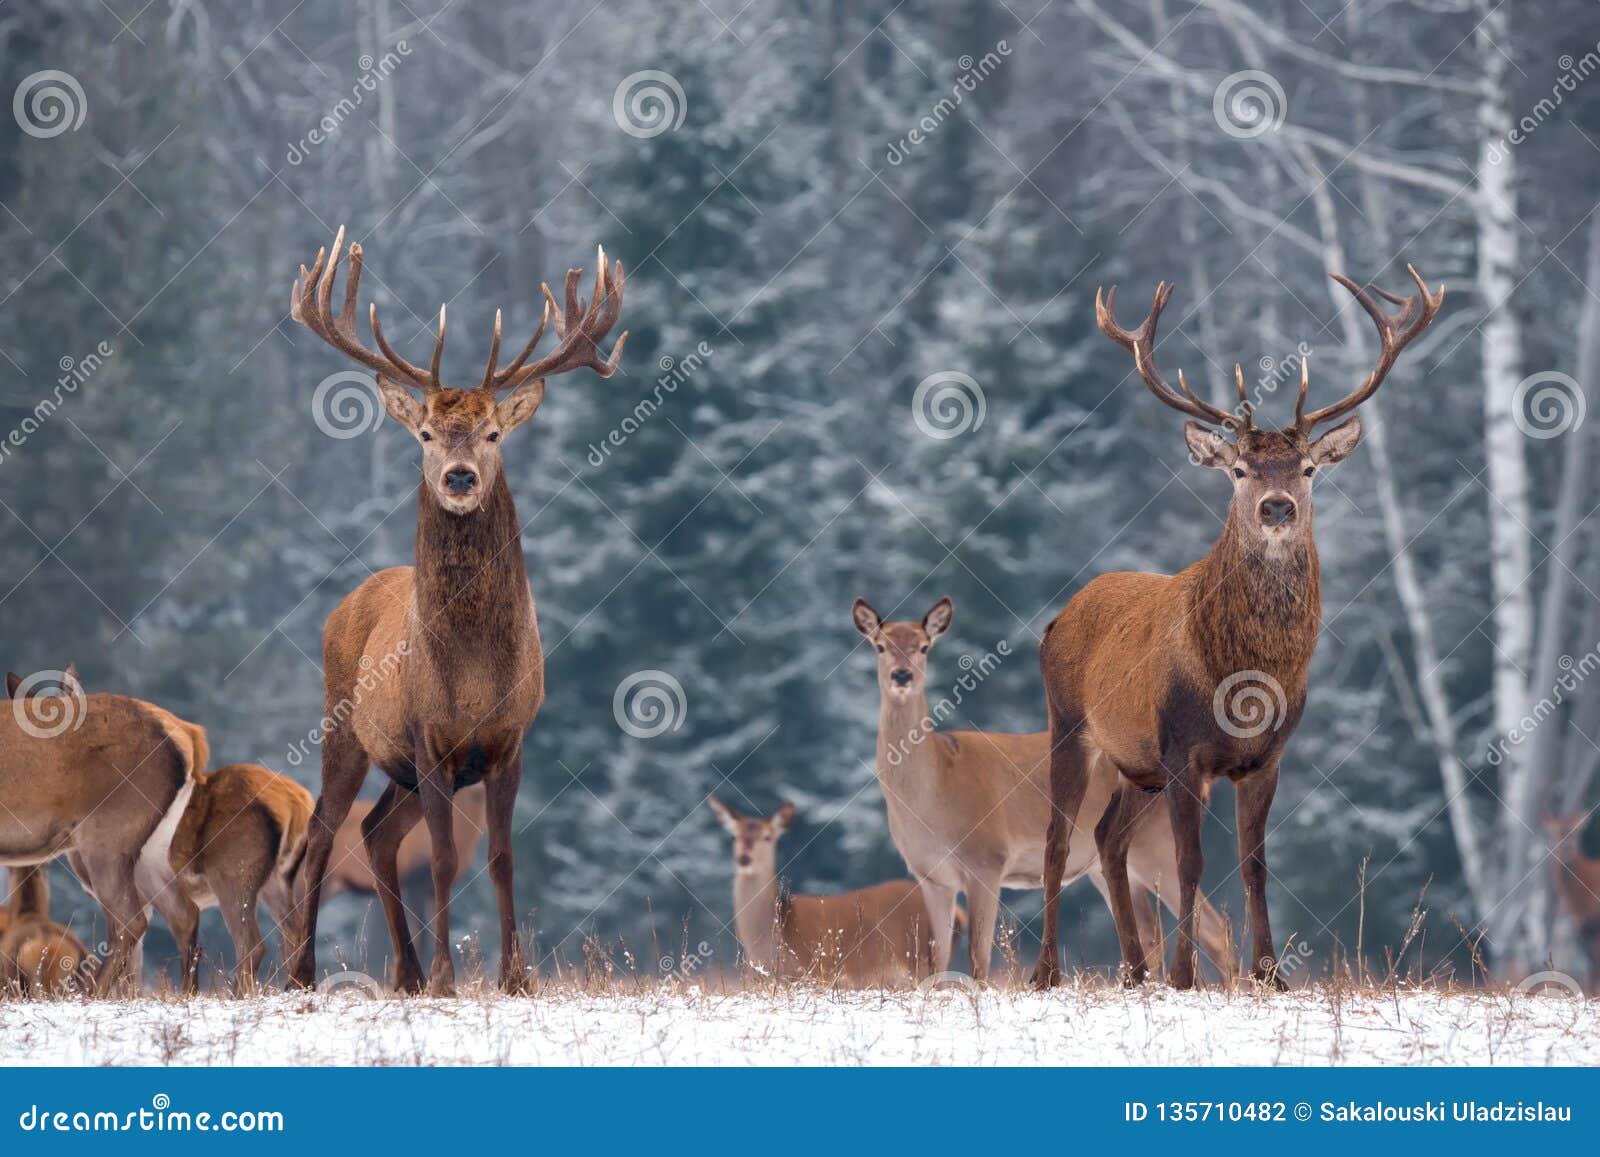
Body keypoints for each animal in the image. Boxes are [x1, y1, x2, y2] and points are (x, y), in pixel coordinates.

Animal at [288, 228, 624, 998]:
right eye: (427, 435)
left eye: (494, 433)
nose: (460, 477)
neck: (471, 673)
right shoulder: (430, 739)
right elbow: (442, 859)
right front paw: (448, 975)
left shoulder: (509, 741)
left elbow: (500, 857)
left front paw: (515, 975)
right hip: (349, 730)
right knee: (322, 833)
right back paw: (304, 971)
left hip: (401, 769)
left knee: (377, 834)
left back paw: (404, 974)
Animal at [857, 598, 1228, 985]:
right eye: (880, 645)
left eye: (924, 646)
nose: (902, 675)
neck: (934, 791)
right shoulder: (931, 877)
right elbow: (938, 959)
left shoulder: (987, 859)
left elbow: (978, 957)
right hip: (1112, 865)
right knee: (1153, 933)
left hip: (1156, 845)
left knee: (1215, 929)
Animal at [1030, 267, 1446, 992]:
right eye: (1240, 470)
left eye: (1307, 468)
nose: (1276, 507)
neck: (1245, 677)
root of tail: (1059, 616)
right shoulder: (1181, 750)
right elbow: (1192, 863)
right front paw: (1185, 977)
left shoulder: (1267, 758)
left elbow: (1255, 865)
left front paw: (1270, 975)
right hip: (1071, 724)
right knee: (1060, 839)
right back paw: (1049, 970)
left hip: (1133, 764)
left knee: (1108, 837)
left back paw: (1133, 970)